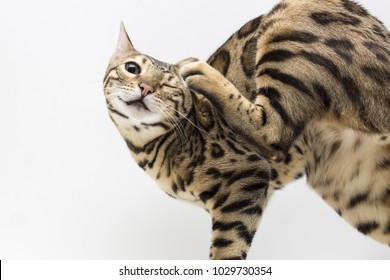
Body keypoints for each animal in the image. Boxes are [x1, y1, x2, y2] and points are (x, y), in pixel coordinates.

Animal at [103, 0, 390, 260]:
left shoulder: (247, 180)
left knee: (273, 132)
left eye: (168, 85)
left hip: (288, 24)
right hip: (362, 195)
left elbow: (227, 250)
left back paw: (205, 74)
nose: (146, 88)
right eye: (132, 68)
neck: (150, 148)